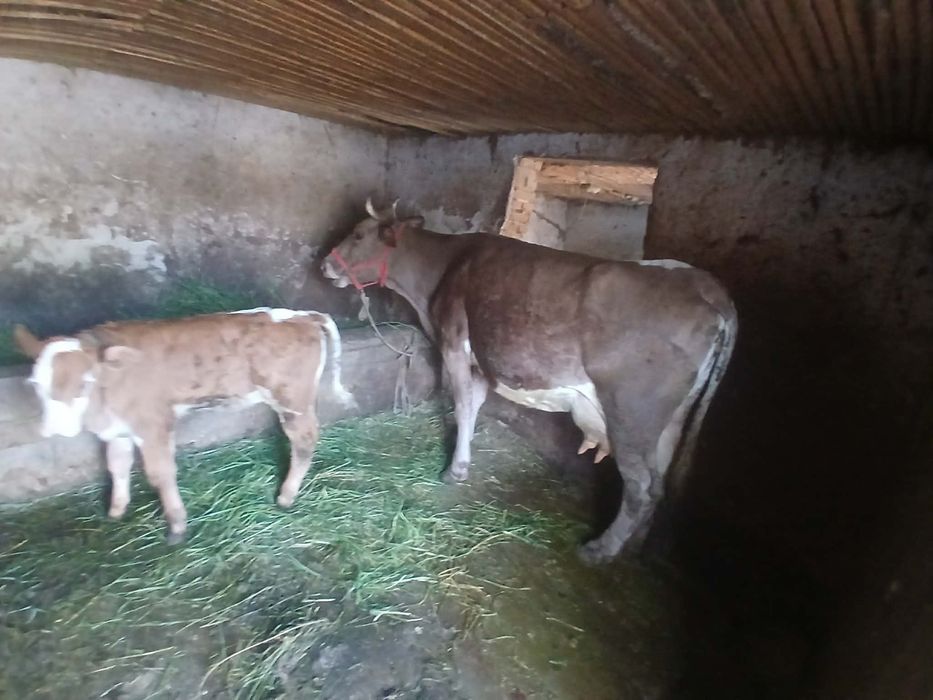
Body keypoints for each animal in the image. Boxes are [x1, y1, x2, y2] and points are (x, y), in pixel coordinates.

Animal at [14, 309, 355, 543]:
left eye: (84, 382)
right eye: (36, 383)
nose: (57, 430)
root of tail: (301, 315)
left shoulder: (153, 424)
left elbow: (161, 474)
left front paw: (177, 525)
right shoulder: (118, 429)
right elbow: (117, 466)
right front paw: (116, 511)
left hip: (293, 400)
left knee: (305, 441)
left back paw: (286, 496)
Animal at [322, 198, 737, 563]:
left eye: (358, 234)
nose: (325, 264)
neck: (440, 272)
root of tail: (706, 286)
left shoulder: (454, 342)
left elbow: (463, 403)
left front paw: (454, 470)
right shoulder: (481, 360)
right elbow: (474, 403)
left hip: (631, 414)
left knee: (641, 487)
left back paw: (600, 550)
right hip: (671, 420)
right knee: (660, 480)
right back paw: (632, 548)